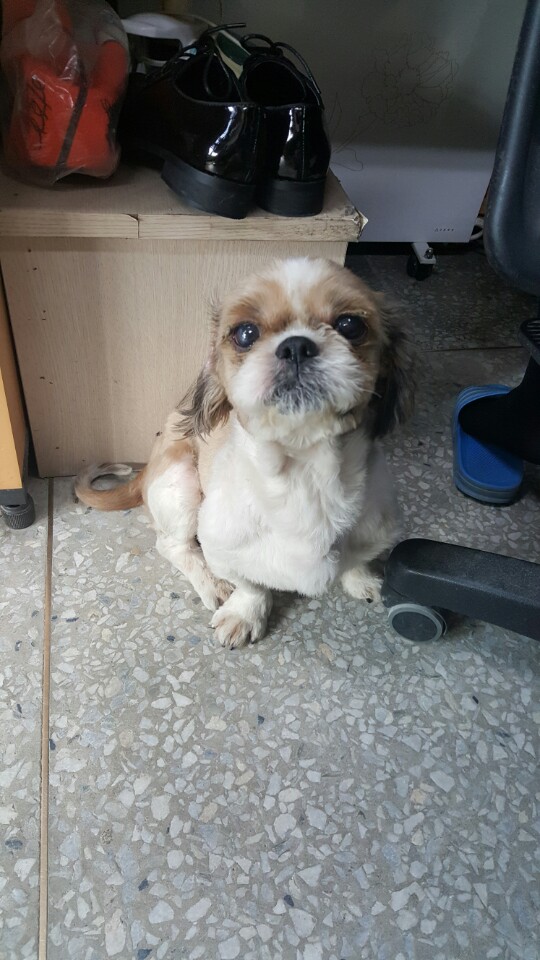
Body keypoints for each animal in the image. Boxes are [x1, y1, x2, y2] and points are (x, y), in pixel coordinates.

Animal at [75, 257, 414, 648]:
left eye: (350, 325)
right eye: (245, 333)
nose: (296, 346)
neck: (304, 478)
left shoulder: (379, 532)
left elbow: (359, 560)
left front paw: (361, 579)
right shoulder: (222, 546)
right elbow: (250, 584)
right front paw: (245, 612)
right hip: (181, 484)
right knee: (172, 546)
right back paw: (211, 583)